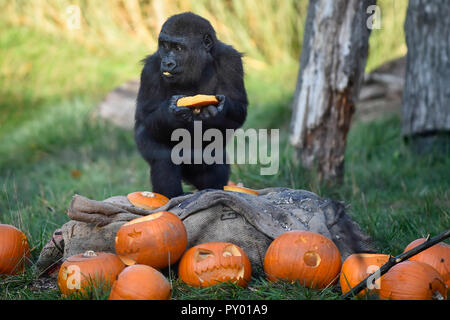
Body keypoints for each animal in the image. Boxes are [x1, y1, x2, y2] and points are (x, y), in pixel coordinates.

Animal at [135, 12, 248, 199]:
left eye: (178, 48)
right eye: (165, 46)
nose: (167, 62)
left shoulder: (231, 59)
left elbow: (240, 107)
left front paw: (218, 111)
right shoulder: (150, 69)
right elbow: (147, 117)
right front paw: (171, 113)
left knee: (214, 163)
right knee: (162, 157)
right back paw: (173, 198)